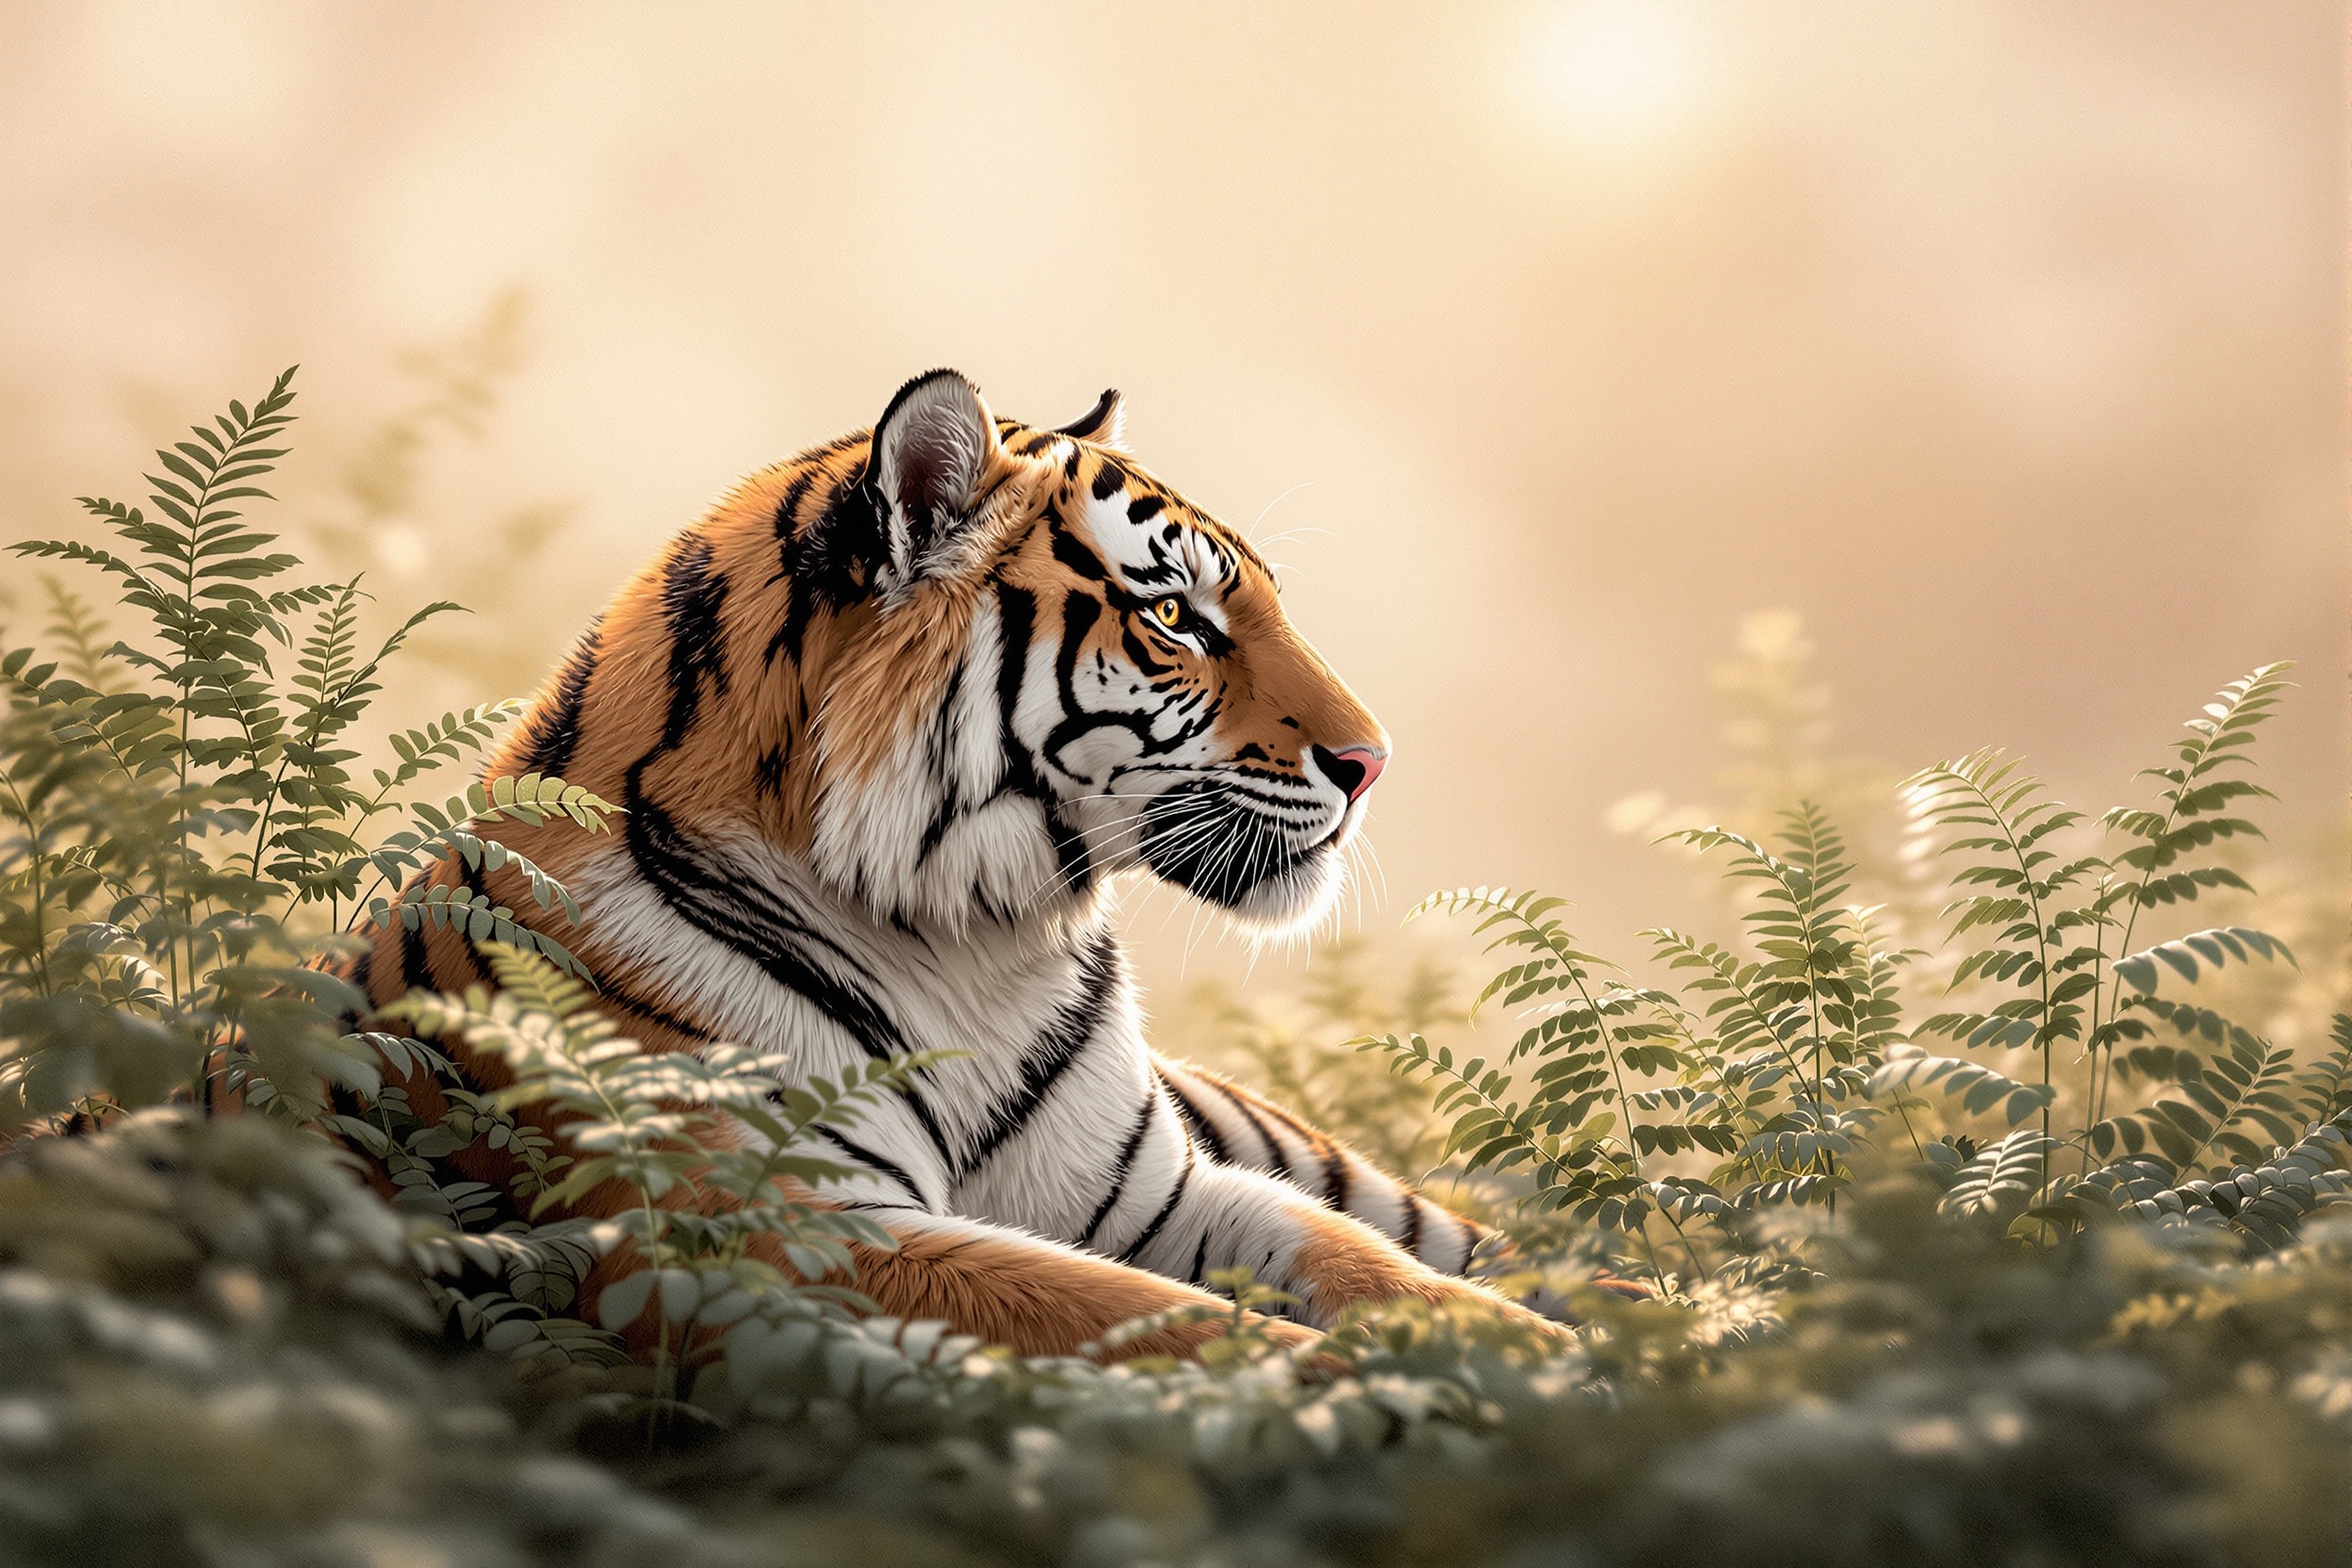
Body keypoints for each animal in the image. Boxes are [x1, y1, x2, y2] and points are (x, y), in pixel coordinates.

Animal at [341, 369, 1574, 1361]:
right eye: (1175, 616)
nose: (1374, 763)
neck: (974, 939)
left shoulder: (1165, 1192)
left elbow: (1368, 1263)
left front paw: (1555, 1353)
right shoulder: (775, 1229)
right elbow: (1142, 1318)